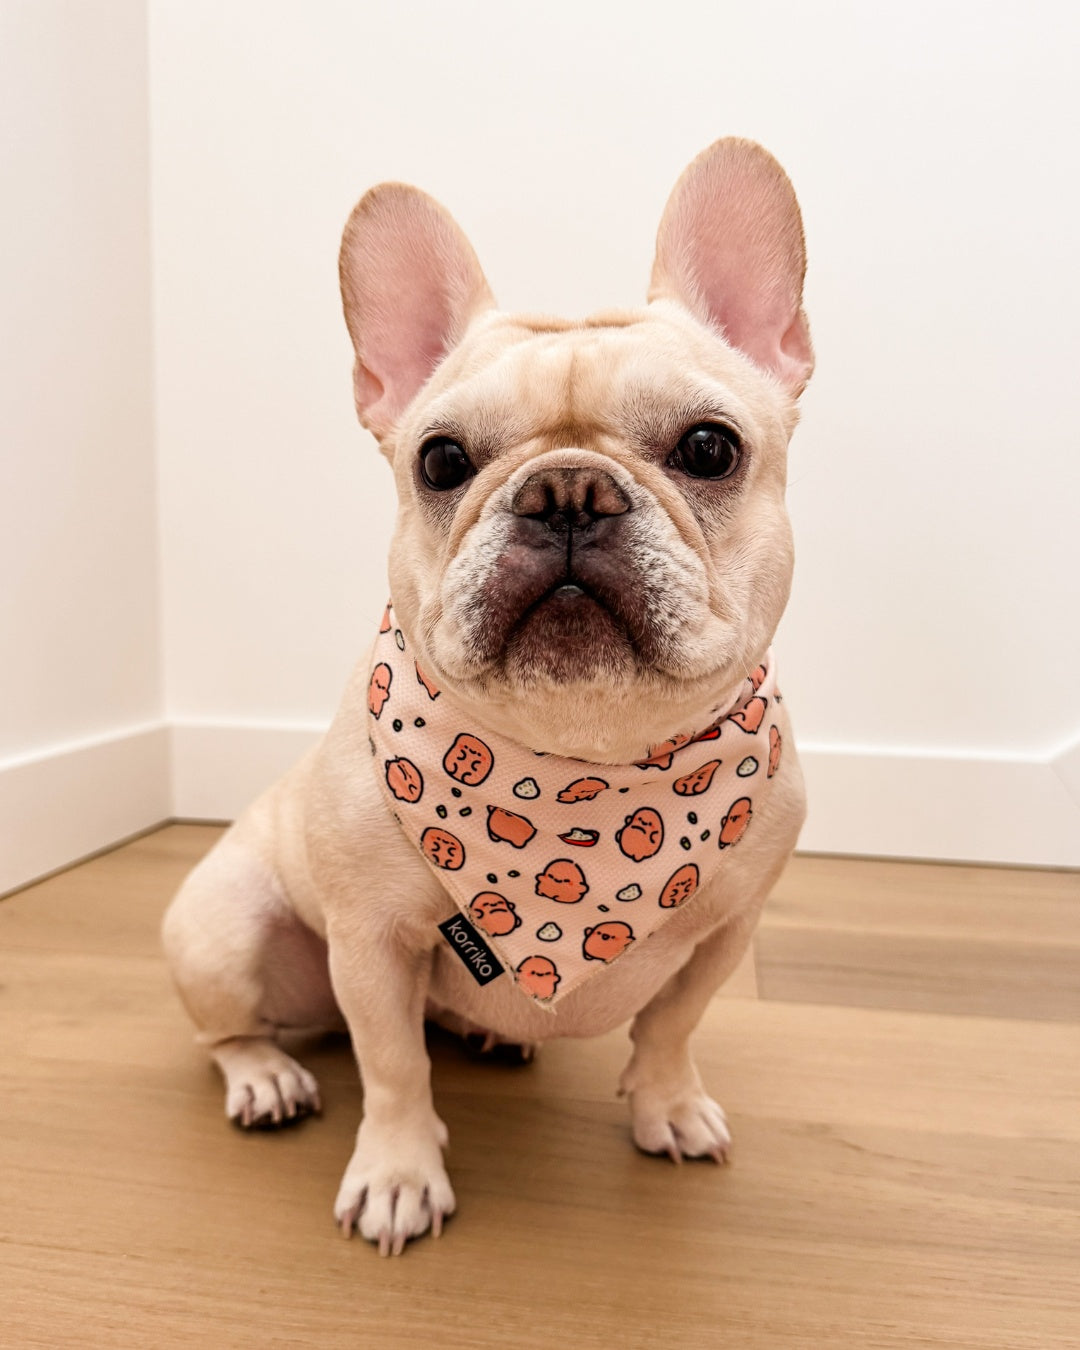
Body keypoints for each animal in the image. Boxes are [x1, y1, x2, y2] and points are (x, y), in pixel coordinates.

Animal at [160, 137, 810, 1252]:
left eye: (709, 448)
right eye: (441, 459)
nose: (567, 490)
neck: (584, 767)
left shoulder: (727, 932)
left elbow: (672, 1023)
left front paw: (667, 1104)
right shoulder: (371, 946)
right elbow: (390, 1066)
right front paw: (398, 1173)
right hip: (226, 928)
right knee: (233, 1031)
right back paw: (267, 1077)